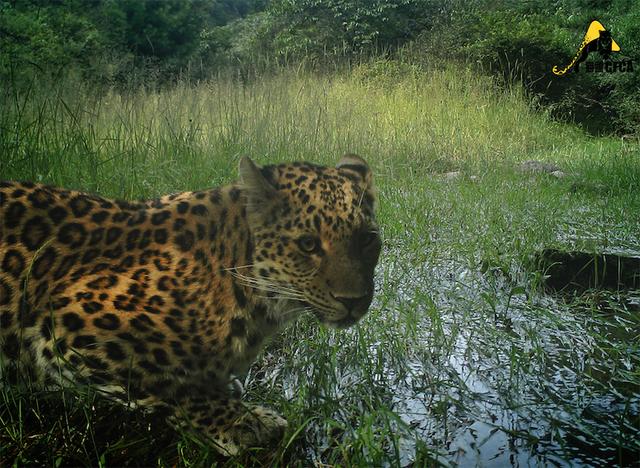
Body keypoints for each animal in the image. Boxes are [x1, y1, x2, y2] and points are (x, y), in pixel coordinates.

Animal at [0, 155, 380, 456]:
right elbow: (170, 386)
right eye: (308, 244)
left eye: (368, 240)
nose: (355, 300)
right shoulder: (63, 324)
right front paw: (243, 422)